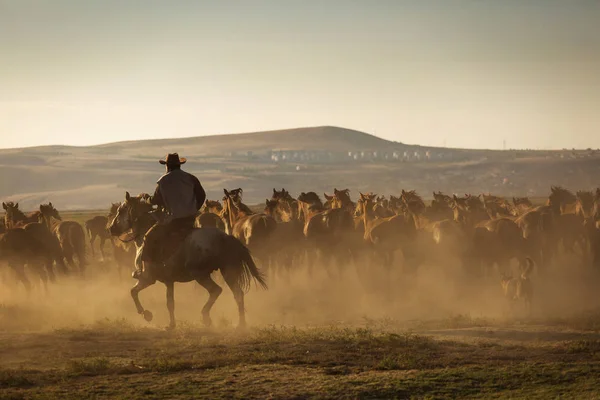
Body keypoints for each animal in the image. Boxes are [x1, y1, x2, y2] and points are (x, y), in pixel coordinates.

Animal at [108, 192, 268, 330]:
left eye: (121, 211)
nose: (111, 229)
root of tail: (227, 238)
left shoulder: (148, 278)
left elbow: (133, 292)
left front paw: (146, 314)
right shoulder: (169, 281)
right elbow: (170, 303)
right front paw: (171, 325)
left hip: (200, 274)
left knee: (216, 290)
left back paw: (206, 318)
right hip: (228, 271)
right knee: (238, 294)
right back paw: (241, 324)